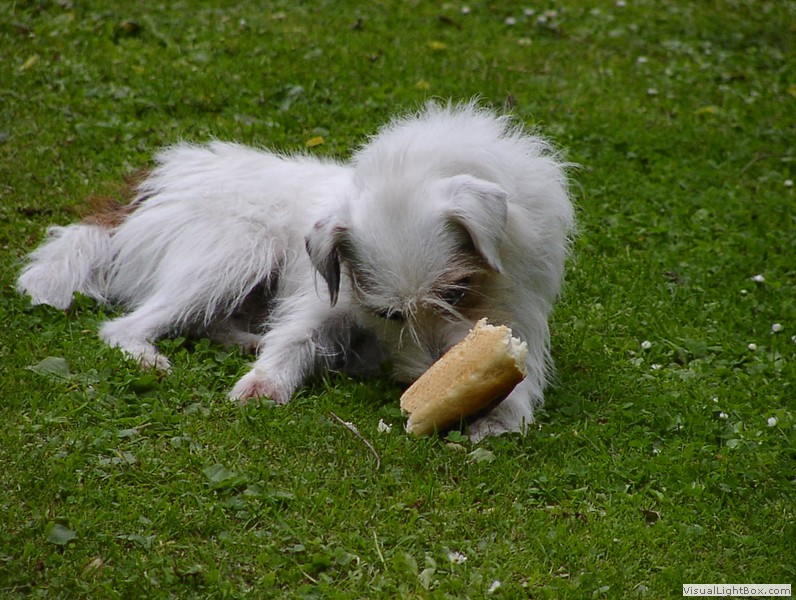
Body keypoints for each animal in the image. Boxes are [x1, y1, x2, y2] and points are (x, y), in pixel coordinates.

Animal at [17, 101, 575, 441]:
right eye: (391, 316)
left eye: (458, 293)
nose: (432, 372)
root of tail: (148, 187)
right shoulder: (326, 297)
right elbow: (295, 337)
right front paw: (263, 383)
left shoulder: (521, 320)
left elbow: (520, 373)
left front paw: (498, 414)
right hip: (239, 250)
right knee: (125, 326)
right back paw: (151, 356)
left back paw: (245, 340)